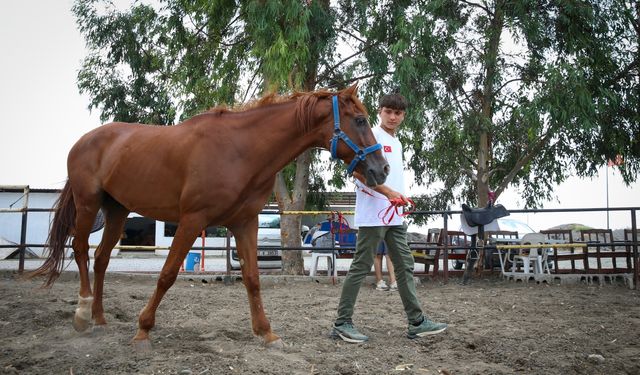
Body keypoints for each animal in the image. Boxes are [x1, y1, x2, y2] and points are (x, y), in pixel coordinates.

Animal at [30, 83, 388, 352]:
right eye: (359, 120)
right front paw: (143, 328)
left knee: (102, 259)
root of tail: (83, 141)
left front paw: (266, 331)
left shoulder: (245, 223)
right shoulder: (192, 220)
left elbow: (252, 278)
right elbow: (167, 274)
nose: (381, 169)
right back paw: (82, 314)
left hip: (117, 210)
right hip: (88, 204)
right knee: (80, 250)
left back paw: (100, 318)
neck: (241, 149)